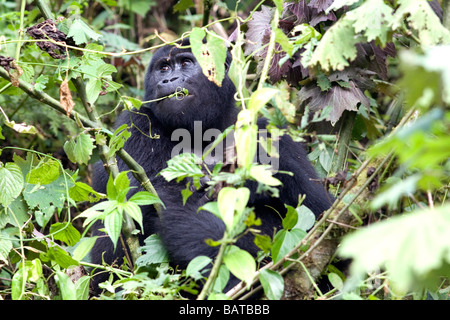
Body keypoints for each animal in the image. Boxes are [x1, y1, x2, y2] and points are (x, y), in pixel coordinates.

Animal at [89, 38, 334, 296]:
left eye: (186, 63)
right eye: (163, 68)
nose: (168, 80)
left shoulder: (271, 132)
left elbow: (320, 215)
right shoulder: (134, 125)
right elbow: (156, 204)